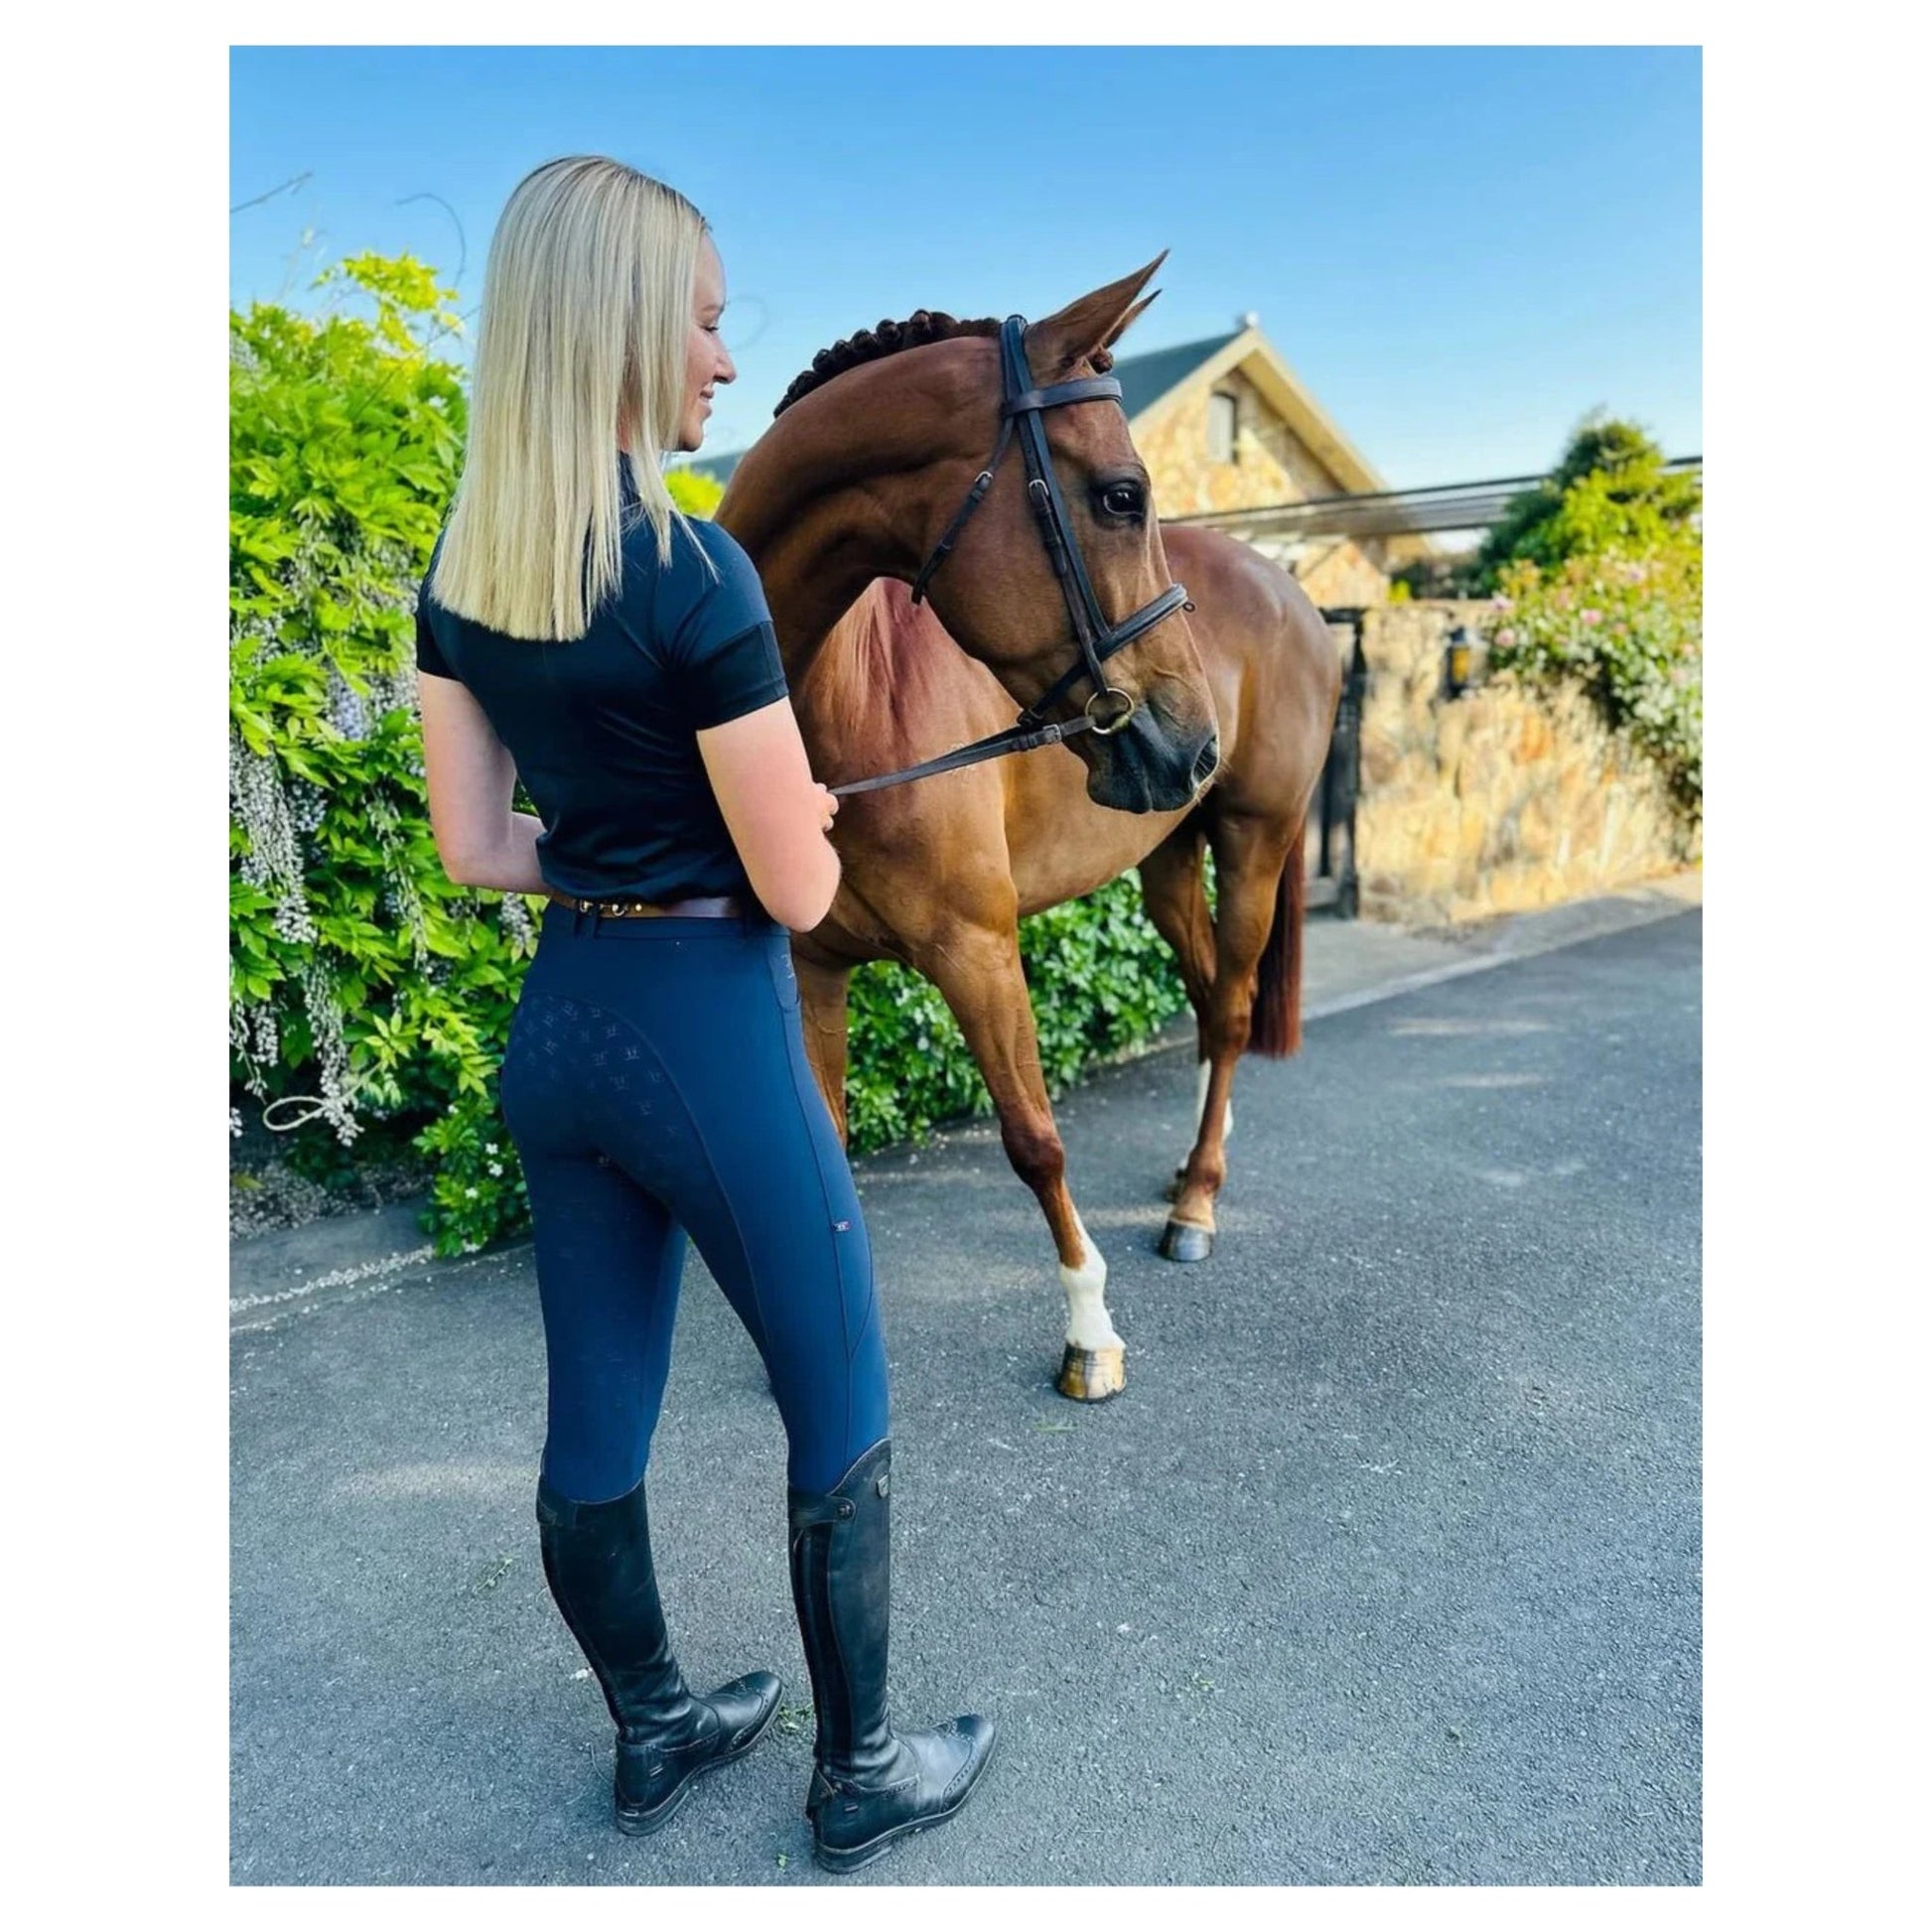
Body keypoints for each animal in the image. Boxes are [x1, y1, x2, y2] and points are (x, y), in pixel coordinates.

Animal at [716, 259, 1340, 1402]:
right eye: (1121, 494)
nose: (1190, 740)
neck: (842, 709)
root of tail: (1289, 591)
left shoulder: (978, 949)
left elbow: (1033, 1139)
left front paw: (1090, 1333)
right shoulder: (813, 966)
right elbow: (828, 1148)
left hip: (1254, 840)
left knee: (1231, 1011)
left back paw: (1196, 1202)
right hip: (1167, 859)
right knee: (1201, 1000)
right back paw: (1191, 1162)